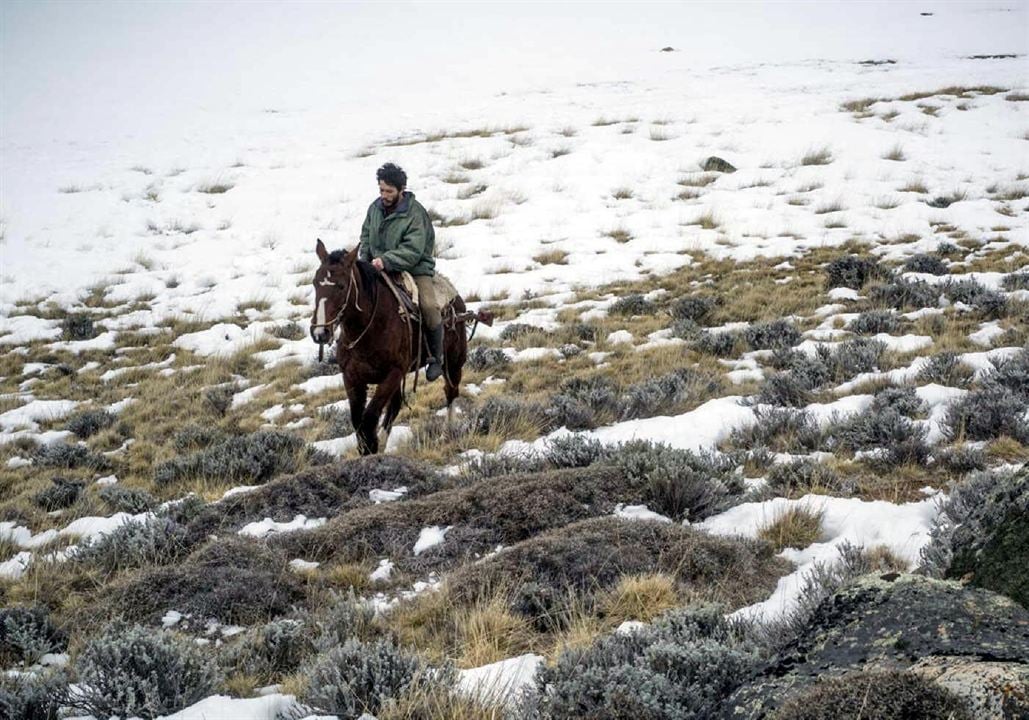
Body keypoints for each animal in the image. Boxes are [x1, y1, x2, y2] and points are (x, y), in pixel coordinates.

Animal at [304, 241, 467, 454]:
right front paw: (370, 448)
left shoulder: (393, 374)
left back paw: (447, 433)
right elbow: (358, 420)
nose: (320, 333)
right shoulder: (352, 378)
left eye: (341, 285)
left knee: (451, 392)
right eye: (315, 283)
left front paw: (371, 447)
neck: (369, 330)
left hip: (454, 362)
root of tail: (456, 297)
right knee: (395, 406)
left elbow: (369, 418)